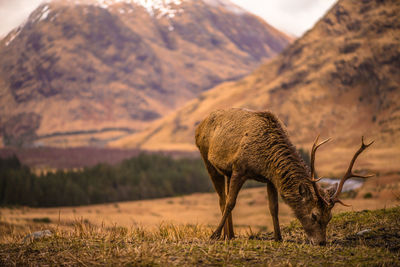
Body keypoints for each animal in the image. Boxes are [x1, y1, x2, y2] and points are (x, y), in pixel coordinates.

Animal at [195, 108, 374, 246]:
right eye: (314, 215)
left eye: (330, 217)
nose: (322, 242)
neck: (264, 159)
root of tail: (198, 127)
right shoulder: (239, 169)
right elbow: (231, 203)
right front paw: (214, 235)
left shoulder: (270, 179)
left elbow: (274, 207)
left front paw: (278, 237)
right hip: (206, 158)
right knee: (222, 199)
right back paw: (223, 235)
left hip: (227, 171)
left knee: (224, 196)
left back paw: (230, 234)